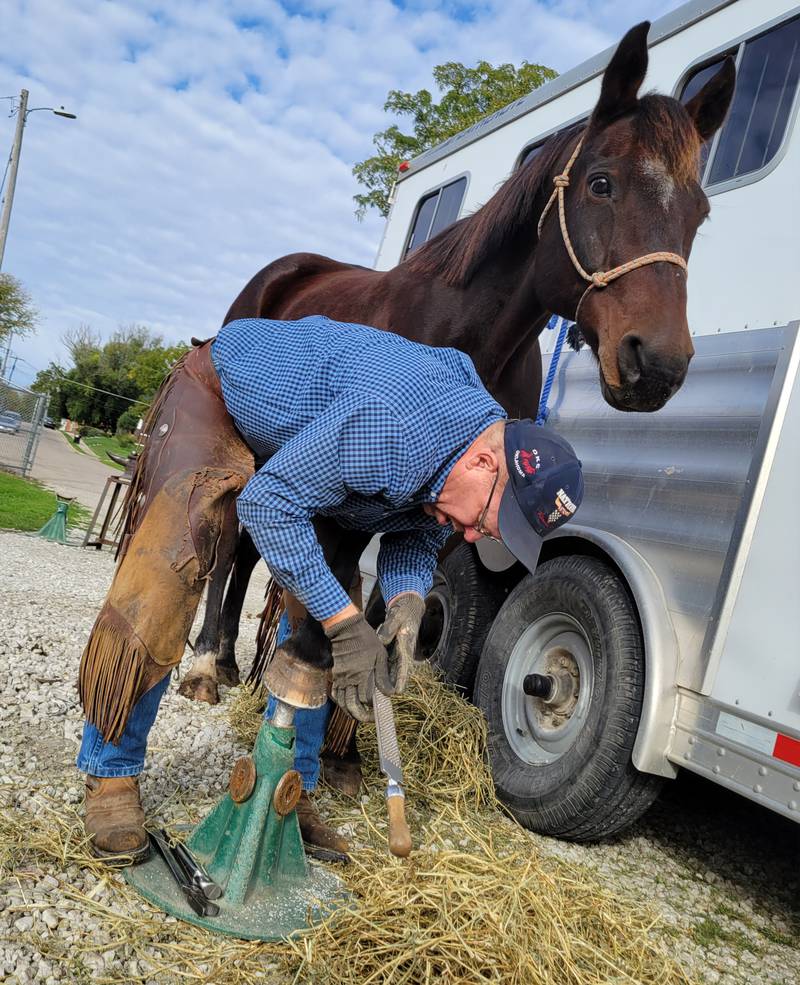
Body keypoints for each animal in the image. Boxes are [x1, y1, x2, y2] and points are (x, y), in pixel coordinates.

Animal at [177, 21, 736, 700]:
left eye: (700, 211)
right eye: (601, 183)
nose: (657, 364)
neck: (466, 340)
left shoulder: (448, 519)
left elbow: (396, 613)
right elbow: (324, 615)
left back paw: (231, 662)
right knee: (234, 542)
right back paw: (207, 661)